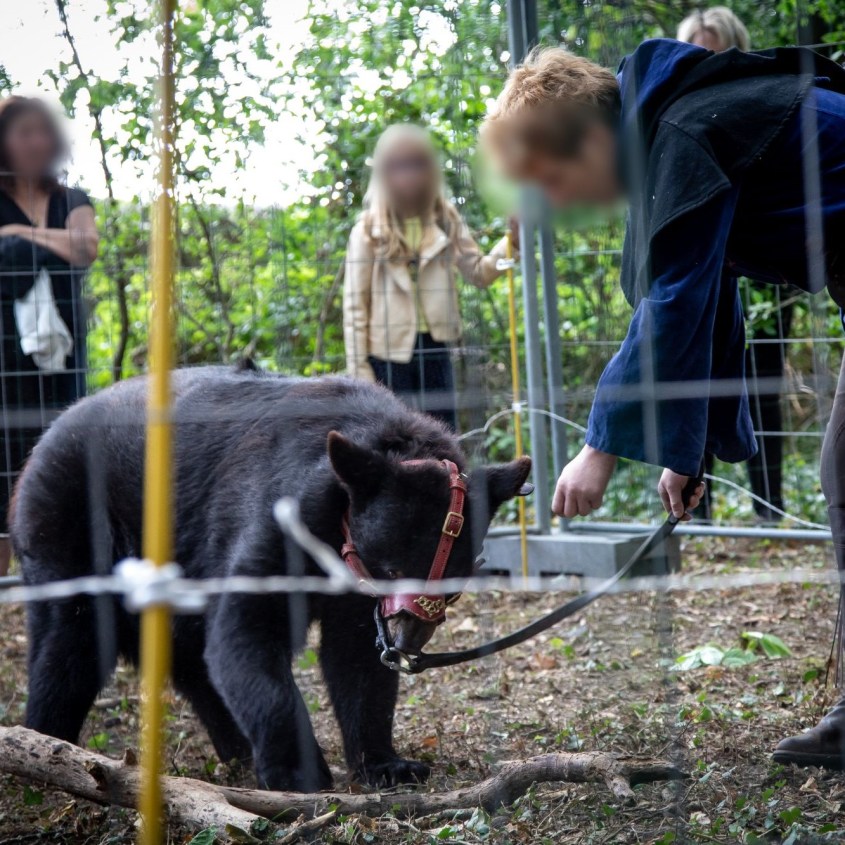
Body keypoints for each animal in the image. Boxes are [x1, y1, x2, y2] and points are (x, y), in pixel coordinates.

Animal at [10, 366, 531, 792]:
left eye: (453, 584)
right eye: (392, 570)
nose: (405, 642)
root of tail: (45, 436)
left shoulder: (351, 585)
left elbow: (355, 659)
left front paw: (388, 764)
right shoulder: (282, 514)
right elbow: (249, 627)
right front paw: (299, 772)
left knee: (187, 653)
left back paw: (235, 747)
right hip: (70, 519)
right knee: (70, 639)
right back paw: (45, 744)